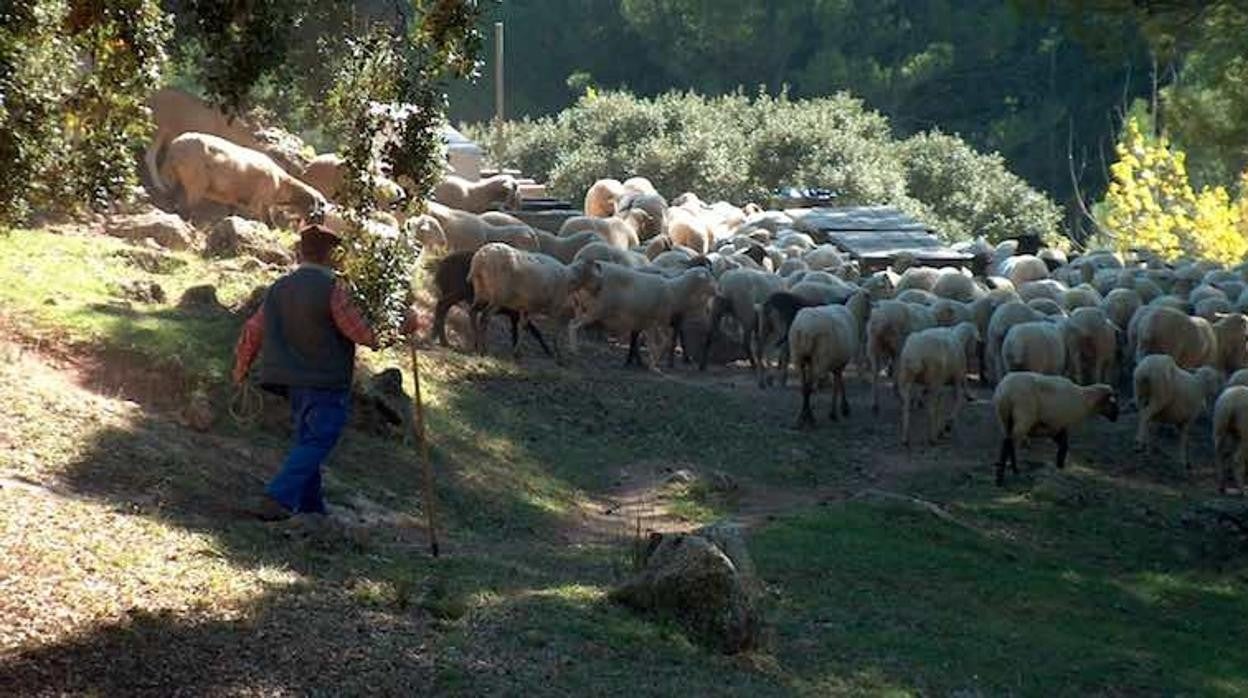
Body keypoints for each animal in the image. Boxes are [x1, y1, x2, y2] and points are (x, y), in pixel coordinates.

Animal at [469, 244, 601, 362]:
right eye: (596, 272)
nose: (599, 289)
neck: (570, 278)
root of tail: (481, 257)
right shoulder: (555, 307)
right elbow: (554, 331)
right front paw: (558, 355)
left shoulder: (527, 307)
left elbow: (522, 327)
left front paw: (517, 352)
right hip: (498, 296)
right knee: (484, 317)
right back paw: (483, 349)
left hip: (481, 292)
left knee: (472, 312)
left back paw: (475, 345)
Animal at [788, 292, 868, 429]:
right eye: (870, 302)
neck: (854, 313)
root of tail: (804, 329)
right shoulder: (840, 362)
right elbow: (839, 382)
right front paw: (841, 410)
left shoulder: (832, 362)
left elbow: (837, 382)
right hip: (819, 358)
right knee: (808, 388)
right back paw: (810, 419)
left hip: (798, 357)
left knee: (804, 387)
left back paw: (801, 417)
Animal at [993, 372, 1123, 486]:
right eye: (1112, 402)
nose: (1117, 416)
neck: (1084, 400)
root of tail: (1005, 390)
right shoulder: (1061, 424)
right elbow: (1064, 447)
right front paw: (1060, 466)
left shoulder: (1054, 428)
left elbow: (1063, 445)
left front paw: (1059, 466)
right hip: (1023, 417)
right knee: (1009, 443)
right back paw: (1002, 478)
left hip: (1005, 420)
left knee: (1008, 443)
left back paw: (1012, 471)